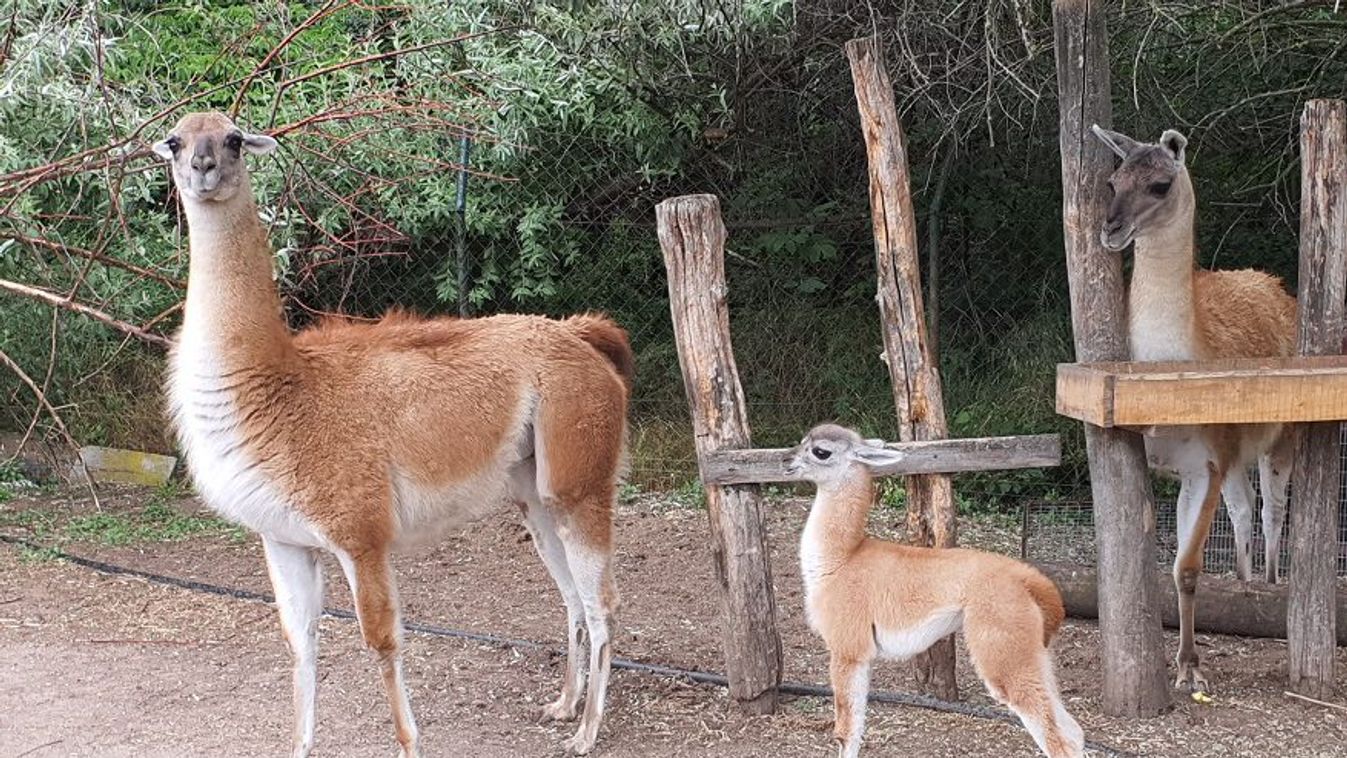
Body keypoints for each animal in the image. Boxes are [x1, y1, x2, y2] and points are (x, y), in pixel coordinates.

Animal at [154, 114, 630, 758]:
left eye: (231, 140)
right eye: (176, 141)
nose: (202, 168)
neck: (279, 390)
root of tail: (579, 334)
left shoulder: (361, 532)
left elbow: (381, 642)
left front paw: (409, 743)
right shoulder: (282, 538)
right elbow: (300, 643)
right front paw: (299, 745)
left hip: (580, 474)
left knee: (602, 601)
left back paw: (587, 731)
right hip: (533, 492)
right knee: (573, 596)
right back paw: (565, 705)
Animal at [786, 428, 1077, 758]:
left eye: (820, 451)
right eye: (802, 441)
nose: (786, 461)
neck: (840, 561)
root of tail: (1029, 577)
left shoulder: (847, 647)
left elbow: (845, 732)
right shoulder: (861, 653)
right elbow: (856, 726)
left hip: (1003, 640)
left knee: (1058, 739)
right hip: (1033, 650)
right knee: (1073, 731)